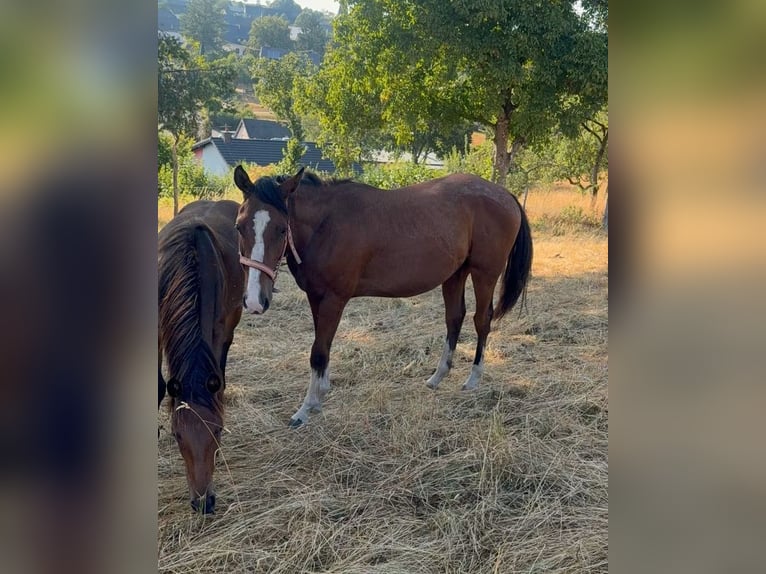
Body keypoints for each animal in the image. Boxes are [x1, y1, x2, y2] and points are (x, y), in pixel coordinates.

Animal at [233, 165, 532, 427]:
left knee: (481, 321)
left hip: (485, 273)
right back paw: (437, 377)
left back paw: (472, 380)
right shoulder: (316, 298)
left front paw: (305, 409)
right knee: (454, 319)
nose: (255, 302)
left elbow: (318, 352)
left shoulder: (333, 299)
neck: (326, 225)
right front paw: (318, 396)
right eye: (239, 226)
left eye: (282, 228)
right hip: (455, 274)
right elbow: (322, 348)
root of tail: (505, 195)